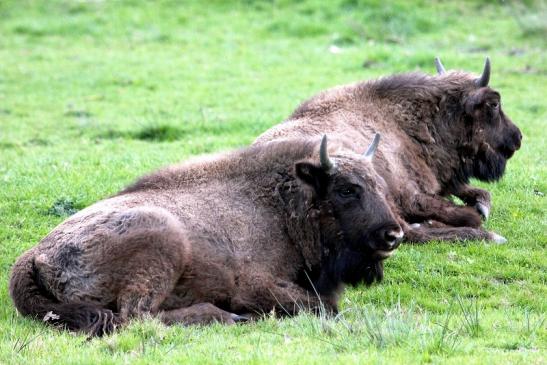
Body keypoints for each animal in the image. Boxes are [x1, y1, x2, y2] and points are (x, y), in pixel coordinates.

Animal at [8, 134, 404, 336]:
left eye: (379, 185)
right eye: (347, 189)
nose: (393, 235)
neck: (281, 204)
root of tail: (33, 255)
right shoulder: (255, 286)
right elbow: (323, 306)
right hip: (164, 242)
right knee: (136, 316)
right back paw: (227, 317)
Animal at [256, 58, 524, 243]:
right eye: (493, 103)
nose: (518, 138)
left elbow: (475, 193)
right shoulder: (410, 193)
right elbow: (463, 212)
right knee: (408, 232)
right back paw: (489, 236)